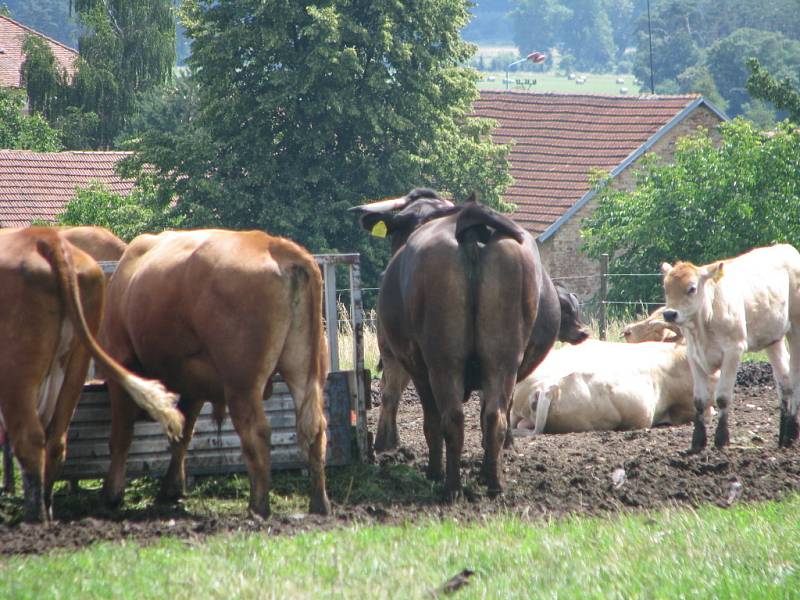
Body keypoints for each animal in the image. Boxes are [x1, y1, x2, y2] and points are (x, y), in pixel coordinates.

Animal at [0, 227, 182, 524]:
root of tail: (46, 238)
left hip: (17, 370)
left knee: (29, 439)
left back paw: (35, 518)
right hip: (74, 365)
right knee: (55, 441)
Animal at [99, 227, 332, 516]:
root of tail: (273, 244)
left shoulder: (121, 365)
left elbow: (122, 435)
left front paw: (112, 493)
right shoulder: (194, 385)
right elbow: (182, 434)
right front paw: (172, 488)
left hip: (242, 384)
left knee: (257, 432)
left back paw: (258, 506)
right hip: (304, 370)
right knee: (315, 428)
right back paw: (319, 503)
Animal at [352, 190, 588, 500]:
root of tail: (470, 217)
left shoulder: (419, 370)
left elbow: (432, 422)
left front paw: (435, 471)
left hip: (443, 361)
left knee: (450, 418)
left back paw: (449, 485)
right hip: (500, 359)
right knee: (494, 417)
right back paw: (493, 482)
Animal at [660, 243, 800, 450]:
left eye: (692, 288)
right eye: (666, 288)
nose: (669, 314)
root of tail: (785, 247)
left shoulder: (734, 350)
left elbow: (722, 397)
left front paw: (721, 439)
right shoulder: (693, 355)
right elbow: (699, 400)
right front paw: (697, 441)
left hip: (796, 329)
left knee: (795, 377)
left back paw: (791, 433)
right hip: (773, 339)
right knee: (784, 381)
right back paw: (783, 437)